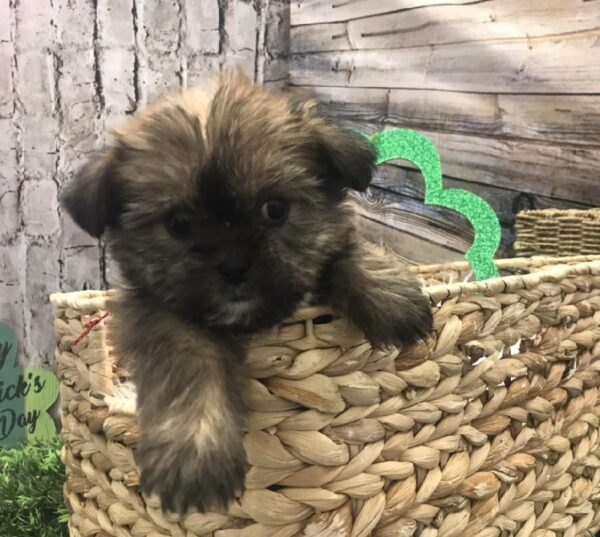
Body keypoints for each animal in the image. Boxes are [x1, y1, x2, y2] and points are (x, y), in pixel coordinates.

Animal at [61, 73, 432, 512]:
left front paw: (391, 296)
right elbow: (189, 360)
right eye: (179, 223)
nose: (234, 264)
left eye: (275, 209)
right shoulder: (159, 312)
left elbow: (340, 252)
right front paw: (195, 453)